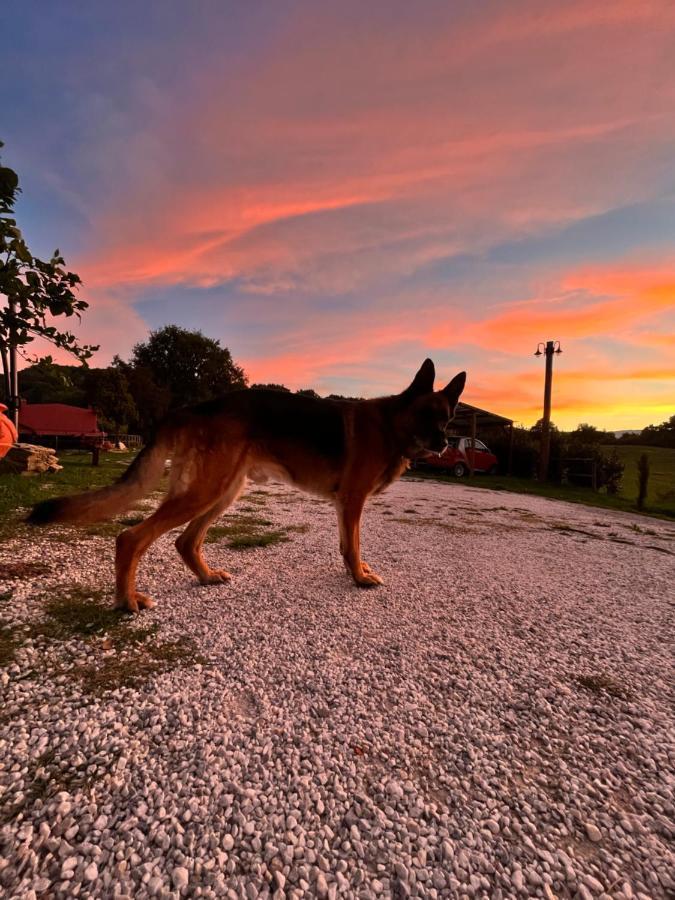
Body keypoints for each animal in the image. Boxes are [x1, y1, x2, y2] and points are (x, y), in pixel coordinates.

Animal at [29, 358, 468, 612]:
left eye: (447, 418)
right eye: (427, 415)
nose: (445, 443)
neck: (393, 426)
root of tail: (190, 408)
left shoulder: (346, 504)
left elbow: (348, 546)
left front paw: (357, 573)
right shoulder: (352, 501)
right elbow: (352, 546)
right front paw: (359, 578)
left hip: (224, 491)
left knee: (184, 541)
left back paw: (206, 577)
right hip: (207, 491)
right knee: (131, 538)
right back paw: (126, 601)